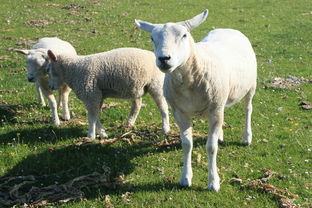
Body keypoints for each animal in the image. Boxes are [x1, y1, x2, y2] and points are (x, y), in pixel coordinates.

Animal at [135, 9, 258, 192]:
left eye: (184, 35)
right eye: (152, 38)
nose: (164, 59)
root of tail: (228, 29)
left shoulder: (214, 110)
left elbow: (211, 147)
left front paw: (213, 181)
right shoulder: (180, 112)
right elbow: (186, 144)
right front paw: (185, 178)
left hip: (250, 87)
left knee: (248, 109)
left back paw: (246, 137)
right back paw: (220, 134)